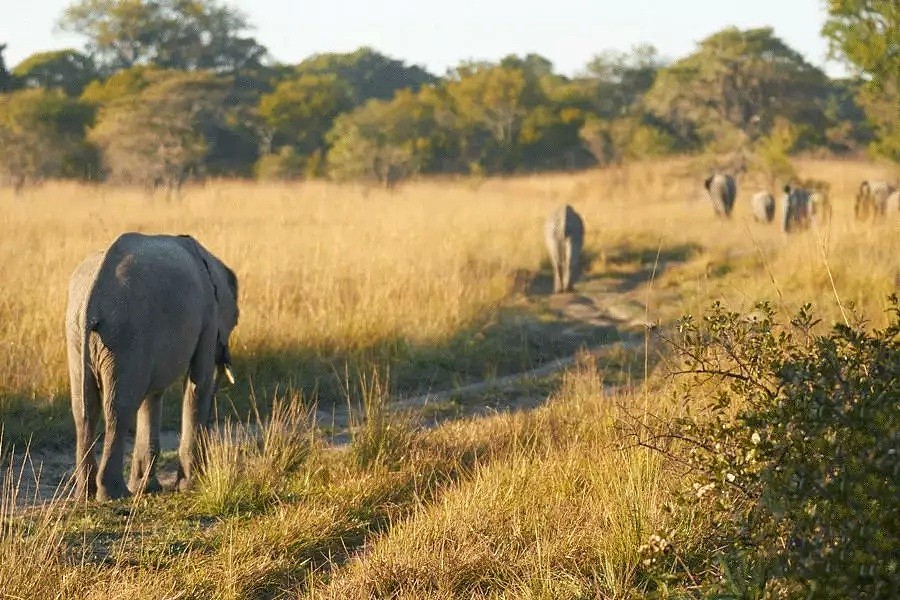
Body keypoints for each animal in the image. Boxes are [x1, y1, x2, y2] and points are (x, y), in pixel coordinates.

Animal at [65, 232, 239, 500]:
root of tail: (92, 300)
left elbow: (152, 396)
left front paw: (147, 488)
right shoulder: (209, 316)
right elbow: (198, 384)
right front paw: (190, 485)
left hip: (78, 335)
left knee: (84, 408)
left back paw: (86, 494)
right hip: (126, 334)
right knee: (119, 408)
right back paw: (114, 494)